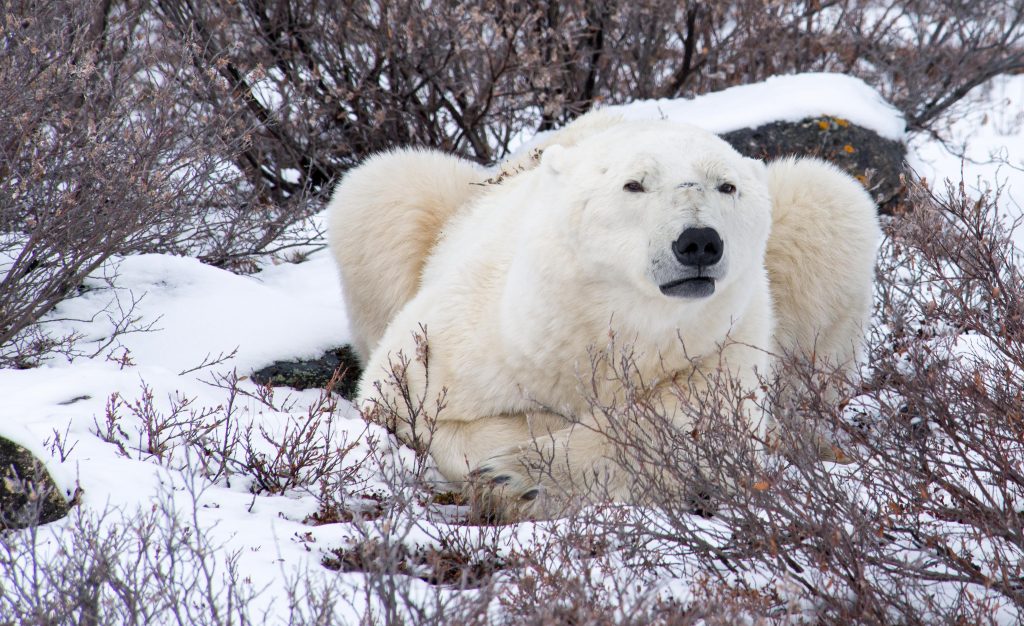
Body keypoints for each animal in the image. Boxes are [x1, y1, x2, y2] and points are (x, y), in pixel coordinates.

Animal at [327, 116, 880, 521]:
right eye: (634, 184)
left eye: (726, 186)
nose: (699, 241)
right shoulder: (476, 335)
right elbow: (401, 401)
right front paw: (520, 446)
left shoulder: (722, 345)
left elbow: (699, 433)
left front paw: (519, 478)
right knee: (382, 186)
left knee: (831, 200)